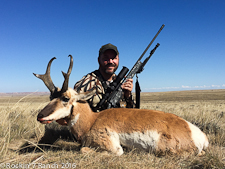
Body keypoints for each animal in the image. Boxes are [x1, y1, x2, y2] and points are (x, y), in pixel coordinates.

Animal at [33, 55, 209, 156]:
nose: (40, 116)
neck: (92, 120)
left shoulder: (113, 148)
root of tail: (194, 131)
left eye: (65, 98)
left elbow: (83, 150)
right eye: (51, 97)